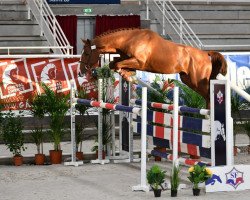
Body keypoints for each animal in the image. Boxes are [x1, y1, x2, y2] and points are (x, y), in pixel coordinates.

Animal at [79, 27, 227, 108]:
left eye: (86, 53)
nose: (80, 72)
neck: (129, 39)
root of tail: (205, 54)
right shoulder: (127, 59)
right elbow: (114, 64)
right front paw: (128, 75)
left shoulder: (139, 61)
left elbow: (116, 64)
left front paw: (128, 76)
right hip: (188, 79)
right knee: (206, 95)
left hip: (197, 80)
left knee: (208, 95)